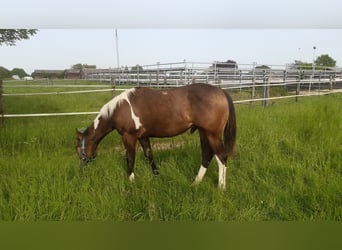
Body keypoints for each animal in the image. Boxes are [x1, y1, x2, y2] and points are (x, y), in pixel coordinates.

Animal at [75, 83, 236, 188]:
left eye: (78, 150)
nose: (82, 170)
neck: (119, 109)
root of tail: (221, 92)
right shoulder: (143, 137)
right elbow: (149, 156)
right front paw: (157, 176)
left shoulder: (129, 137)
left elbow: (130, 158)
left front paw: (131, 182)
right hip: (204, 133)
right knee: (207, 156)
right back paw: (195, 182)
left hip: (212, 135)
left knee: (221, 157)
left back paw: (221, 187)